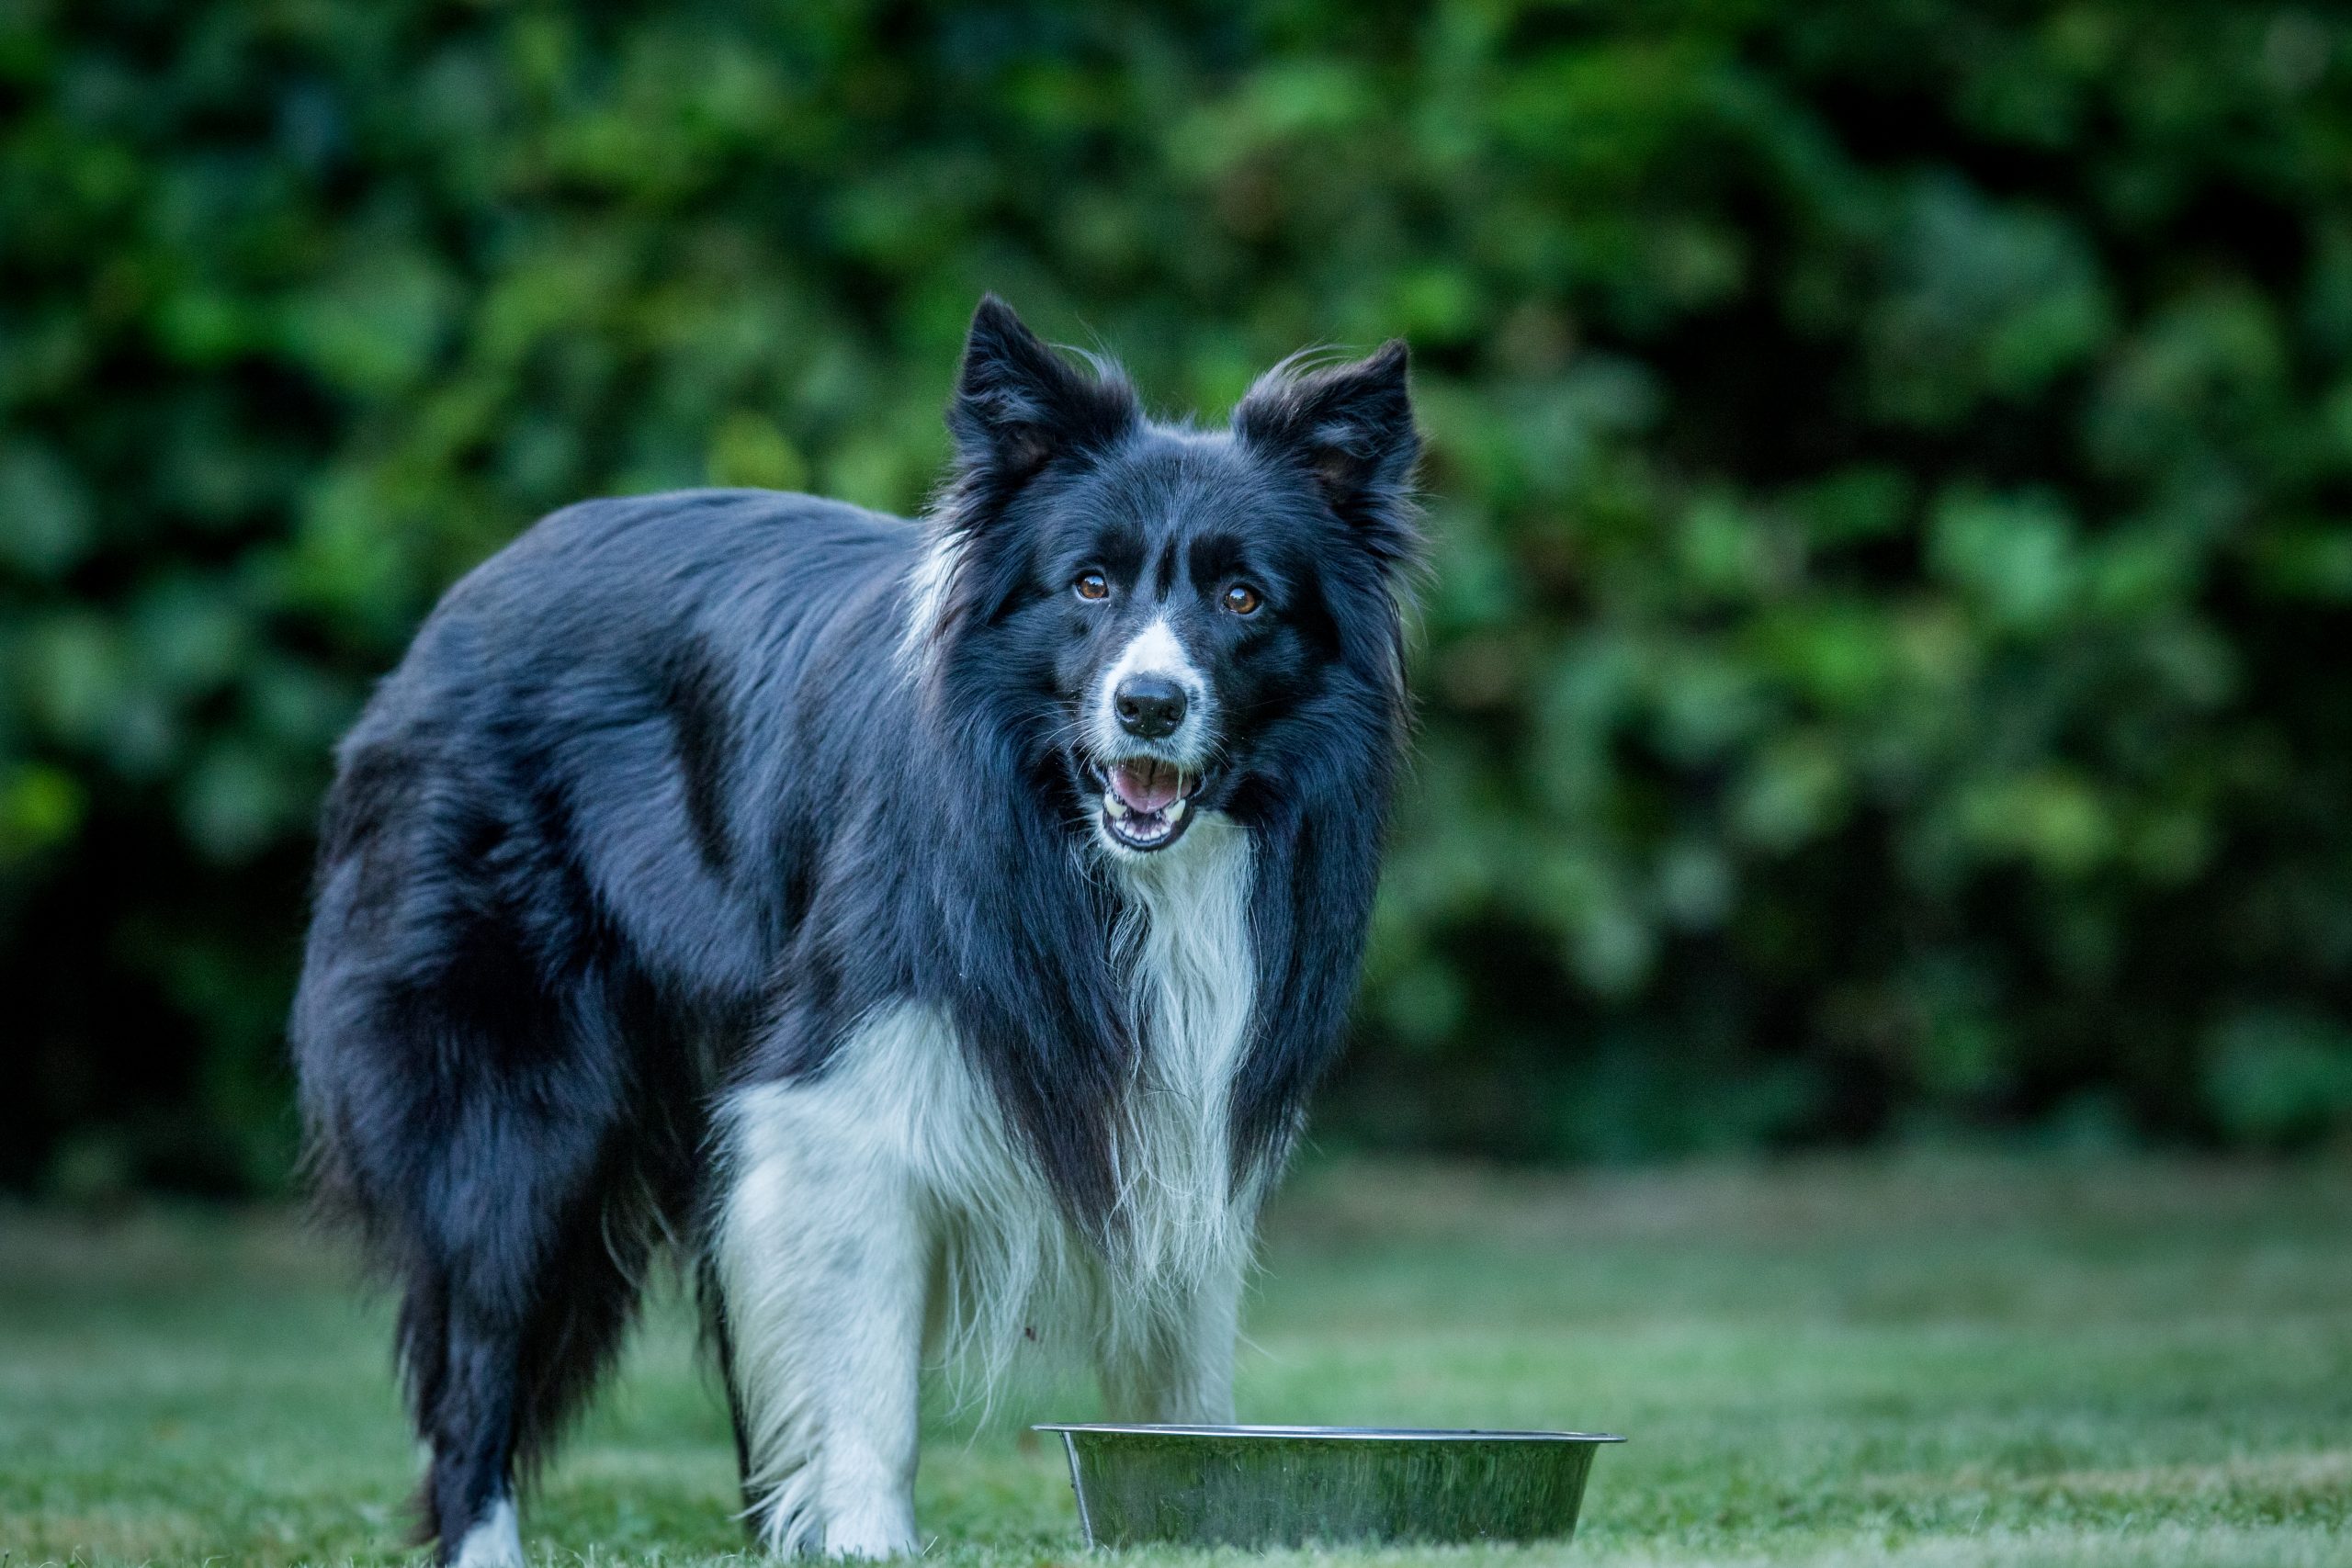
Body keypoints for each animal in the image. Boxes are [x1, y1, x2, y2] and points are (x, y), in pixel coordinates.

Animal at [291, 297, 1411, 1568]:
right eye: (1087, 584)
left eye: (1243, 600)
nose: (1148, 705)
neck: (1097, 860)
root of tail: (453, 609)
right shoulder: (838, 1091)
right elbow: (865, 1377)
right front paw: (868, 1538)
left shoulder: (1185, 1100)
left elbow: (1179, 1372)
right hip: (513, 1088)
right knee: (481, 1333)